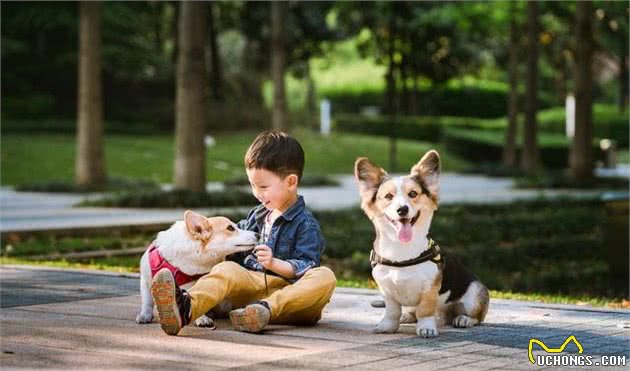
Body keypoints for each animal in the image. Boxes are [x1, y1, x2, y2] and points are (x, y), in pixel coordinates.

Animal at [358, 150, 492, 338]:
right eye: (388, 196)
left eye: (413, 194)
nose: (402, 210)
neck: (401, 252)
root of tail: (447, 315)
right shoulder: (387, 291)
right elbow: (392, 311)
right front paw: (387, 326)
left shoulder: (429, 289)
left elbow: (425, 310)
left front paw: (427, 328)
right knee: (411, 312)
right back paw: (407, 317)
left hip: (474, 294)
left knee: (476, 317)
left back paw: (463, 319)